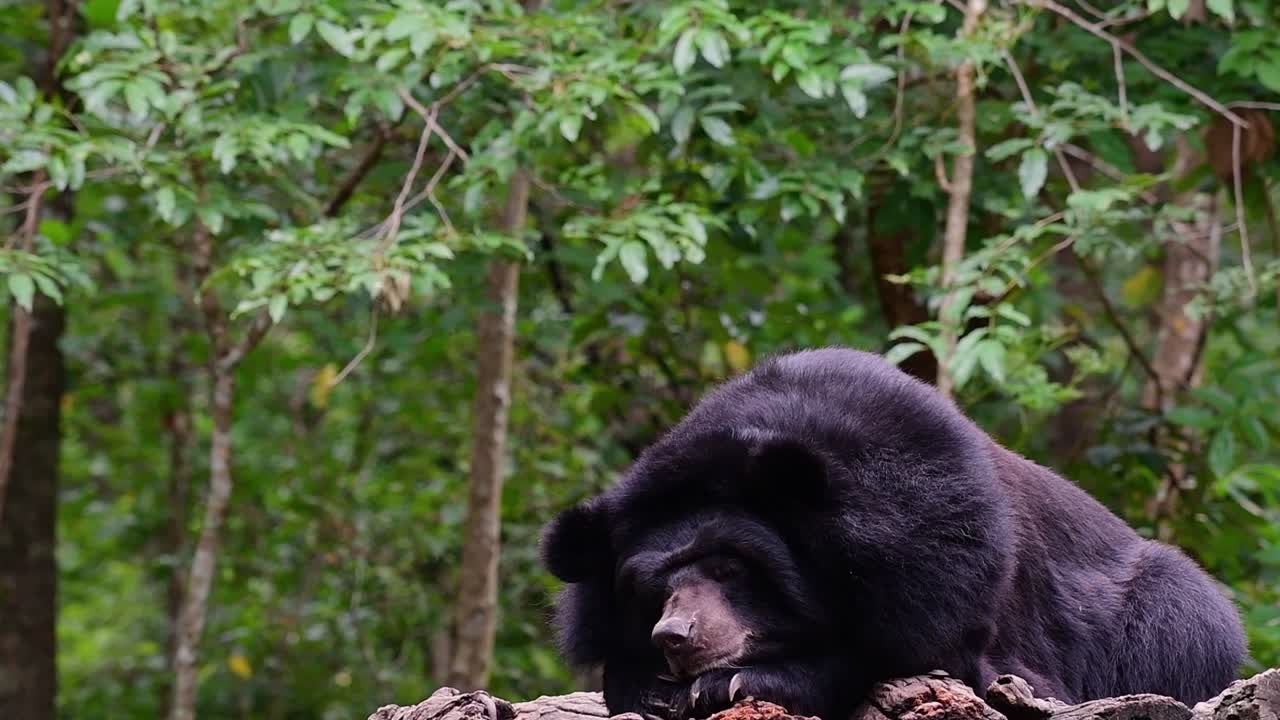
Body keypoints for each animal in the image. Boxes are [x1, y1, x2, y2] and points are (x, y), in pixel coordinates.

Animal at [540, 348, 1247, 720]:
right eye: (653, 589)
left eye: (730, 567)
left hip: (1166, 619)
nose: (676, 636)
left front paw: (733, 684)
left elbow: (918, 656)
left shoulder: (945, 557)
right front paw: (653, 686)